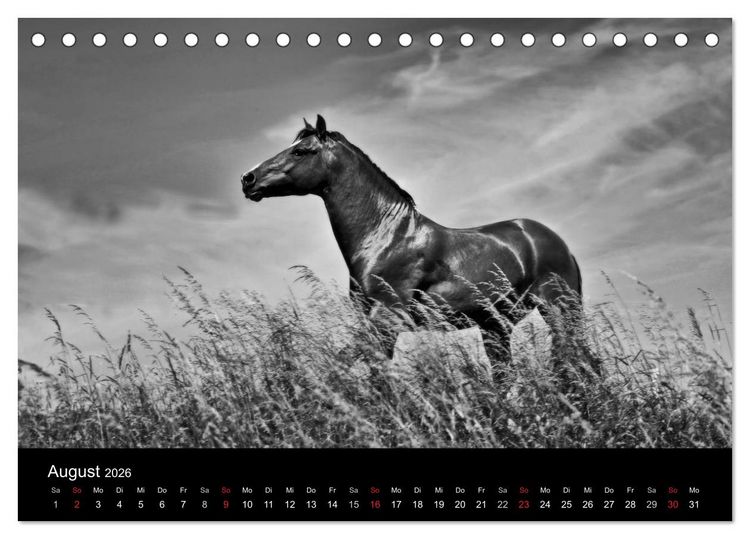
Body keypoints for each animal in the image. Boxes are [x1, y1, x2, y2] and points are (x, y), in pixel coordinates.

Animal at [241, 115, 596, 380]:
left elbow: (341, 365)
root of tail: (556, 242)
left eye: (301, 151)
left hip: (559, 310)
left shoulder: (387, 317)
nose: (248, 179)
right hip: (496, 326)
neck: (386, 238)